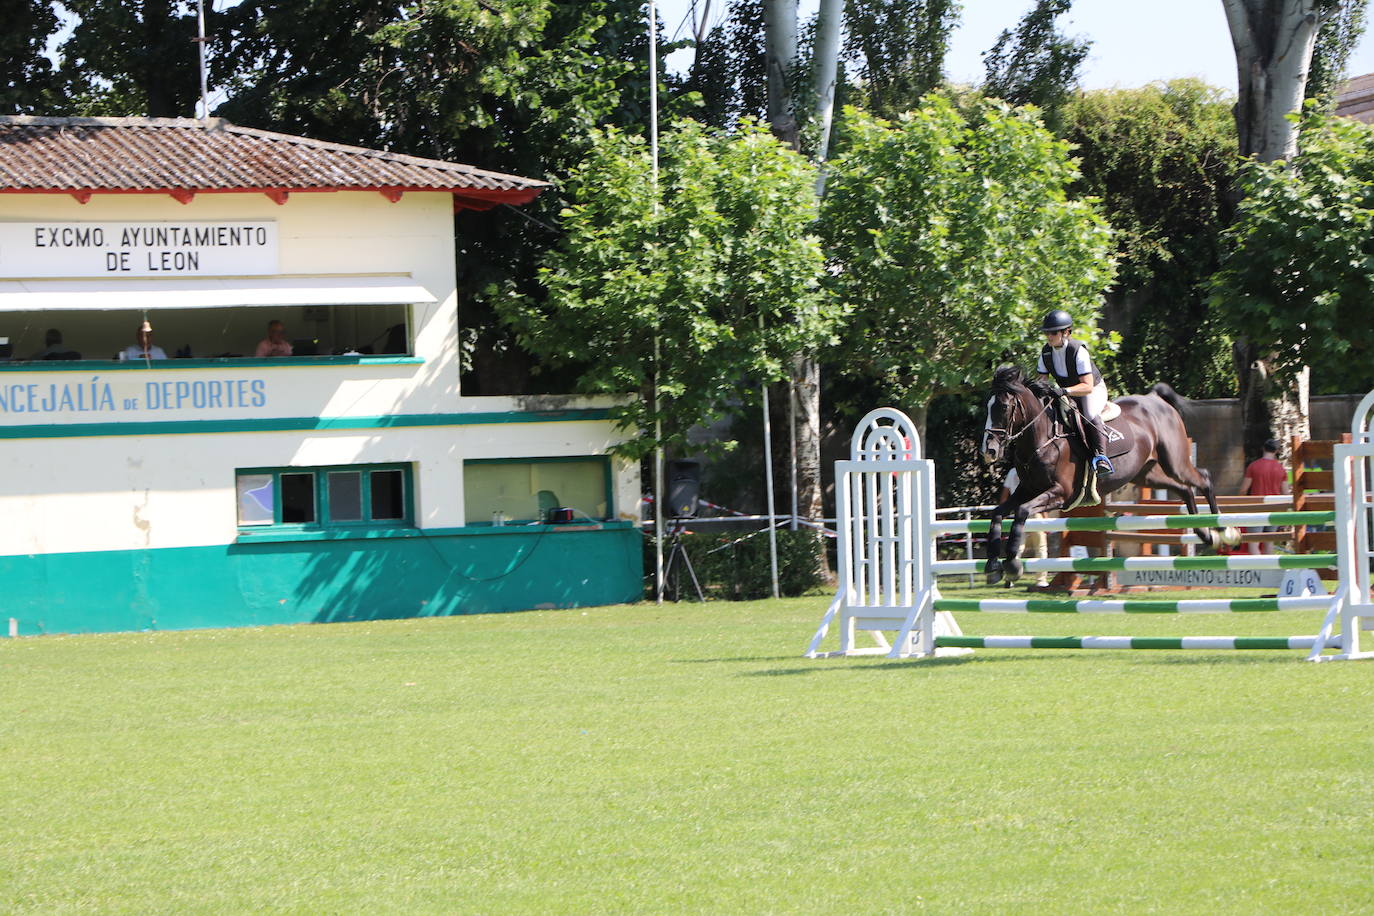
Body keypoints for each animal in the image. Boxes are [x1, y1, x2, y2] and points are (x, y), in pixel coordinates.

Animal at [978, 362, 1236, 585]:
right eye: (987, 407)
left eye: (1003, 407)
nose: (989, 450)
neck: (1043, 439)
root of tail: (1154, 399)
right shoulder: (1028, 489)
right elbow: (998, 513)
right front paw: (992, 565)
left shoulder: (1061, 493)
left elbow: (1021, 512)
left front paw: (1012, 564)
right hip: (1147, 474)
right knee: (1184, 489)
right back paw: (1205, 534)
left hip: (1175, 462)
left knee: (1203, 479)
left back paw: (1223, 532)